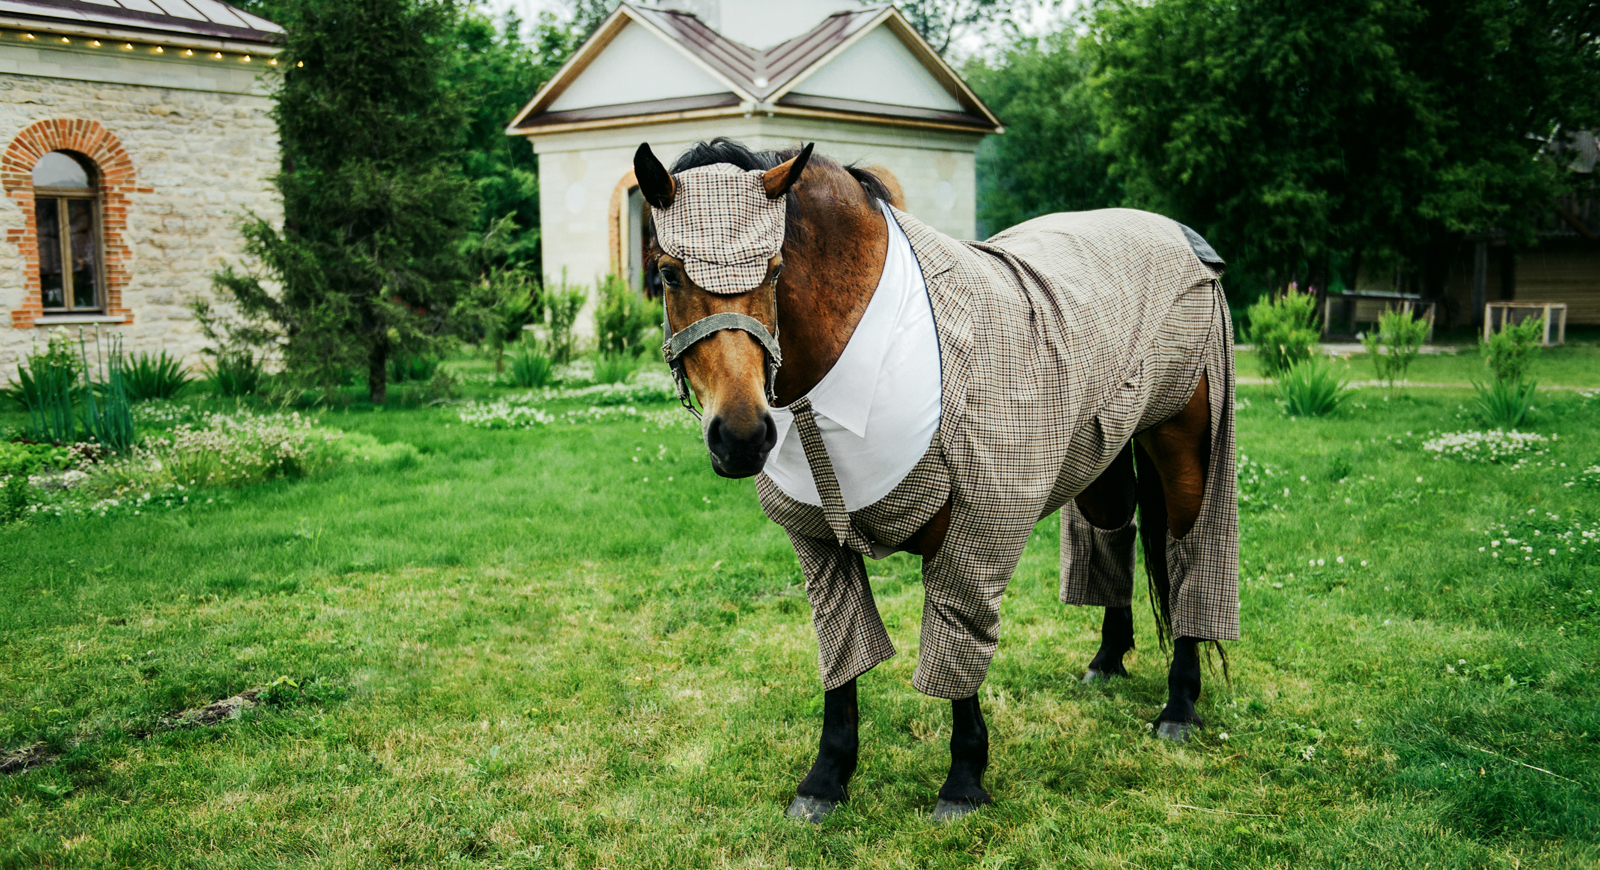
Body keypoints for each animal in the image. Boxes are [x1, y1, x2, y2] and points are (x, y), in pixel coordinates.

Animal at [636, 137, 1235, 825]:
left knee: (1189, 555)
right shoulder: (819, 544)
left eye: (776, 268)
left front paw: (963, 781)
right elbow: (843, 659)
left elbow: (957, 649)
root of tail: (1179, 236)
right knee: (1116, 531)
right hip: (1101, 458)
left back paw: (1179, 706)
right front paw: (826, 780)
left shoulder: (976, 535)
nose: (741, 437)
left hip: (1185, 447)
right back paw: (1107, 663)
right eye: (668, 273)